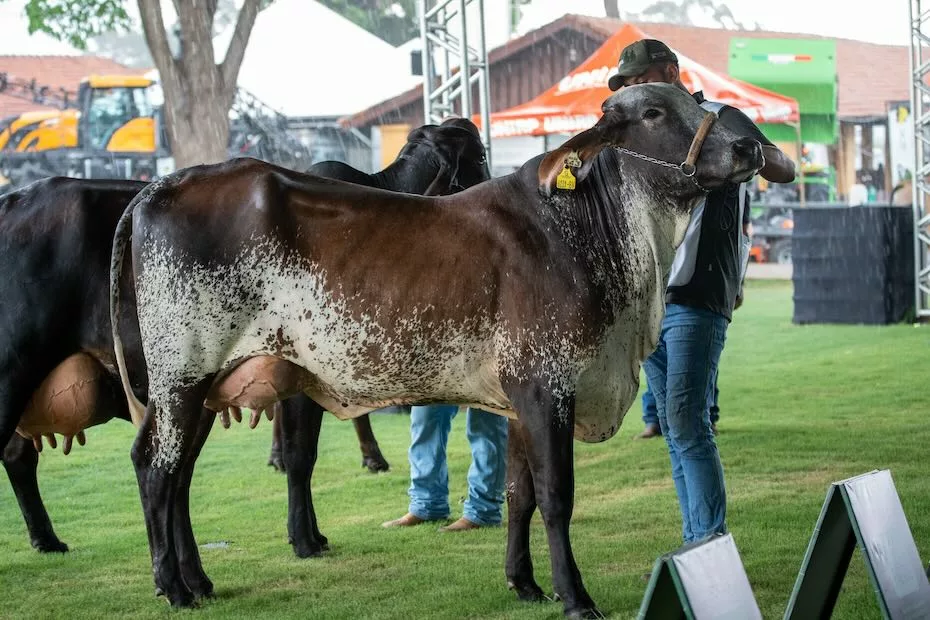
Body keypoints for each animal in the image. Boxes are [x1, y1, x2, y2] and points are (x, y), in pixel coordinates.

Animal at [110, 83, 760, 620]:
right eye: (653, 113)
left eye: (693, 101)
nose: (749, 145)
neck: (586, 230)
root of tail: (161, 185)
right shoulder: (546, 385)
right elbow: (556, 496)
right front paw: (575, 597)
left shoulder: (519, 400)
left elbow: (519, 494)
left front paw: (524, 583)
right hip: (183, 376)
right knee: (155, 469)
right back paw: (172, 586)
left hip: (203, 387)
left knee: (176, 474)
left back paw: (198, 581)